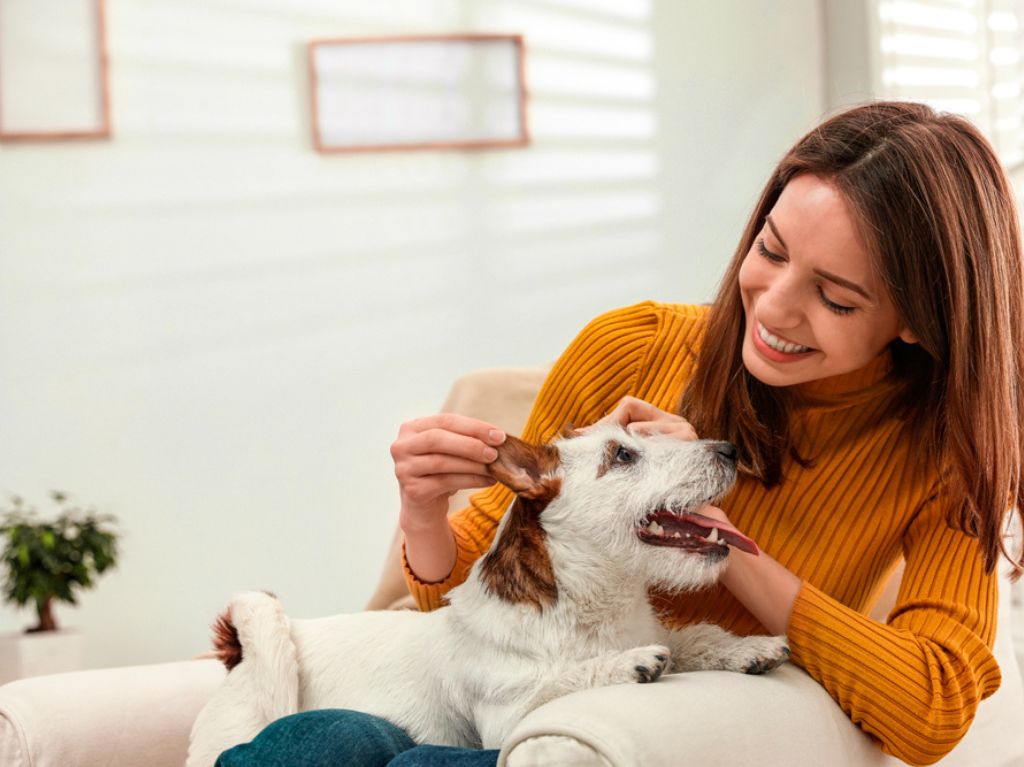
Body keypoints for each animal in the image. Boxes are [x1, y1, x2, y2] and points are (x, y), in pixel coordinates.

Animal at [186, 421, 790, 761]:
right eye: (622, 455)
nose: (730, 450)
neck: (590, 606)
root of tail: (237, 653)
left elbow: (695, 637)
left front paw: (747, 646)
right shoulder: (506, 720)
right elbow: (564, 679)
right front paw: (627, 663)